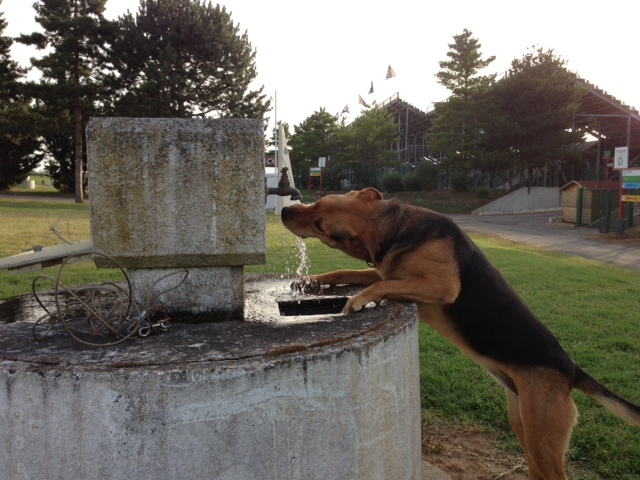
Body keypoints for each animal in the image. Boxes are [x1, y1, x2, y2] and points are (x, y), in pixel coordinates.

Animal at [282, 188, 640, 480]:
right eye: (318, 203)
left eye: (320, 223)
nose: (284, 210)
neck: (396, 229)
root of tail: (571, 369)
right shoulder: (387, 271)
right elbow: (349, 272)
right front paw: (313, 280)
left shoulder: (440, 285)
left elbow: (377, 286)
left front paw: (357, 300)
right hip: (524, 425)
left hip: (543, 436)